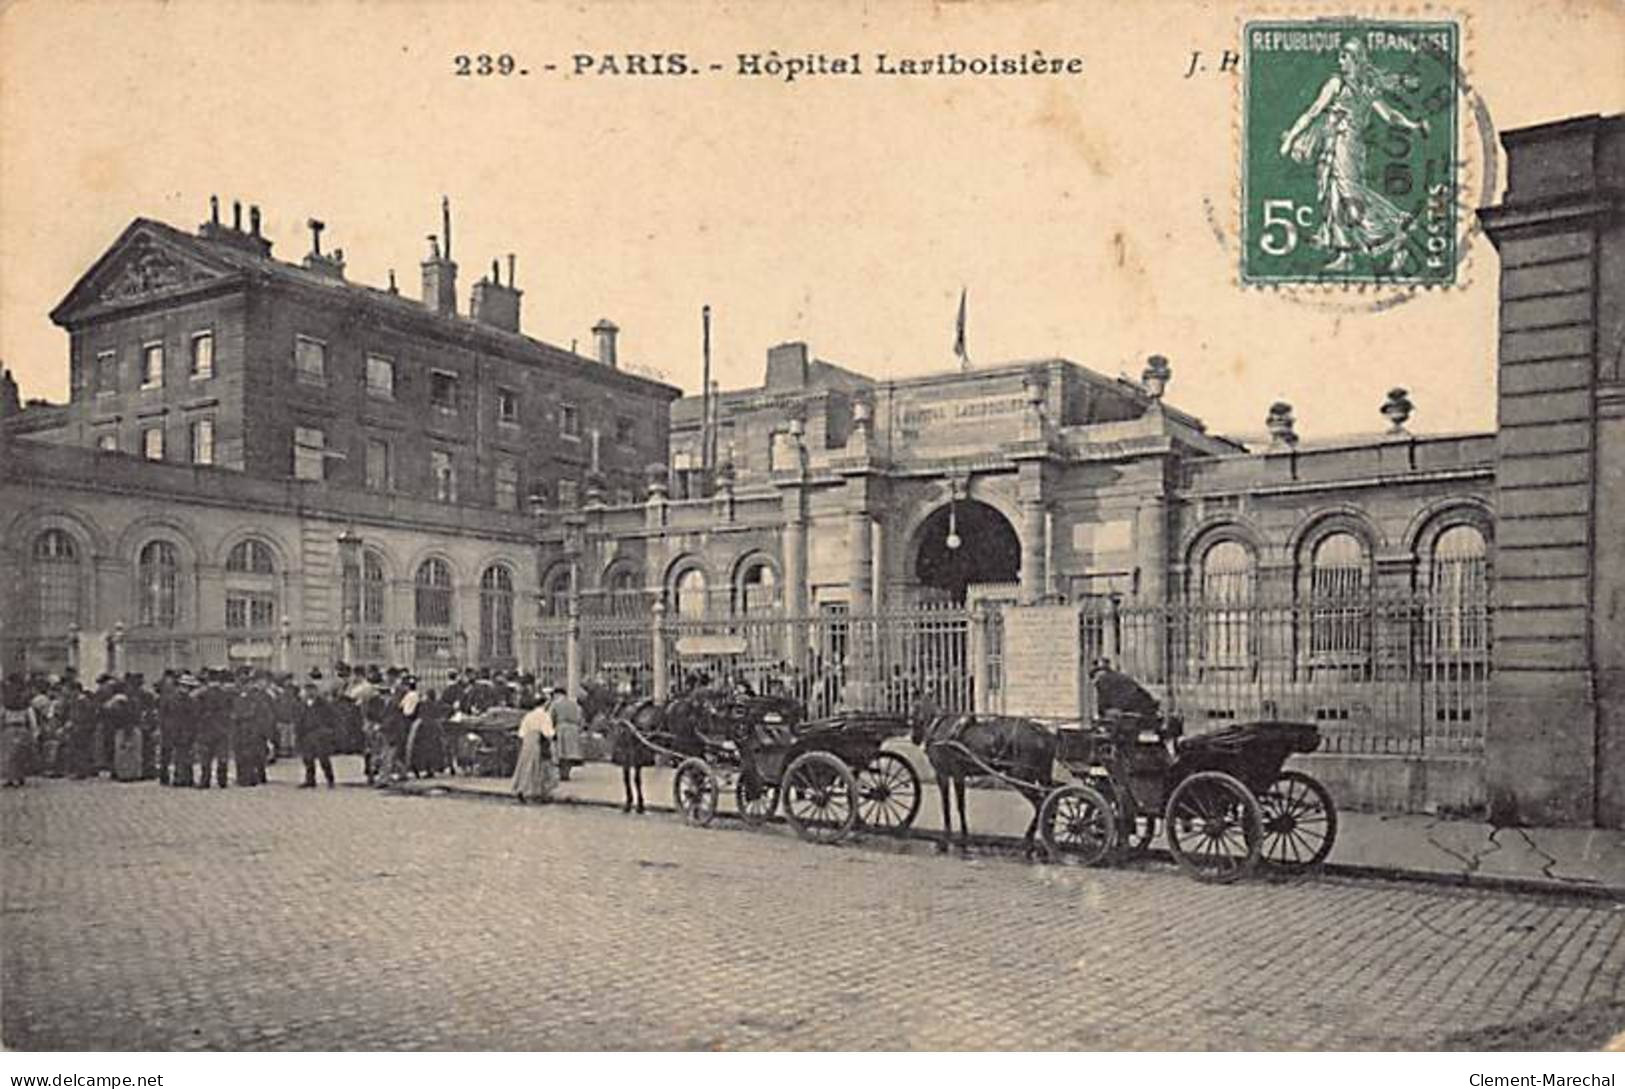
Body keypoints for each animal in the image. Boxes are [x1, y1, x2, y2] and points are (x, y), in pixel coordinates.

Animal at [910, 715, 1059, 864]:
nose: (914, 738)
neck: (941, 727)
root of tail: (1045, 733)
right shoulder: (951, 775)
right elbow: (952, 806)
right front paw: (955, 842)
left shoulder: (949, 775)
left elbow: (954, 806)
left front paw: (956, 843)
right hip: (1040, 775)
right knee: (1051, 802)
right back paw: (1044, 848)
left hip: (1021, 776)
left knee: (1040, 804)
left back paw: (1029, 844)